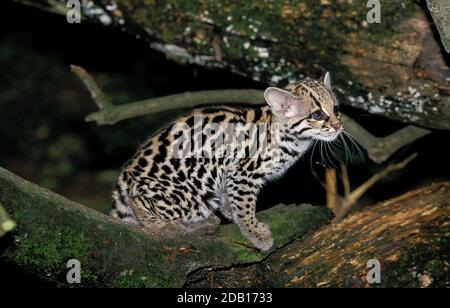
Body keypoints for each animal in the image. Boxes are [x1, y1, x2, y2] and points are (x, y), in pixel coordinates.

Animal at [110, 72, 342, 250]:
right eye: (318, 114)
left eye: (336, 109)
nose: (339, 125)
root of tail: (125, 177)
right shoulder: (243, 172)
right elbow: (245, 203)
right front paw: (253, 230)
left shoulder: (228, 174)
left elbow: (231, 196)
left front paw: (230, 209)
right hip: (188, 194)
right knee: (138, 200)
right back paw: (164, 225)